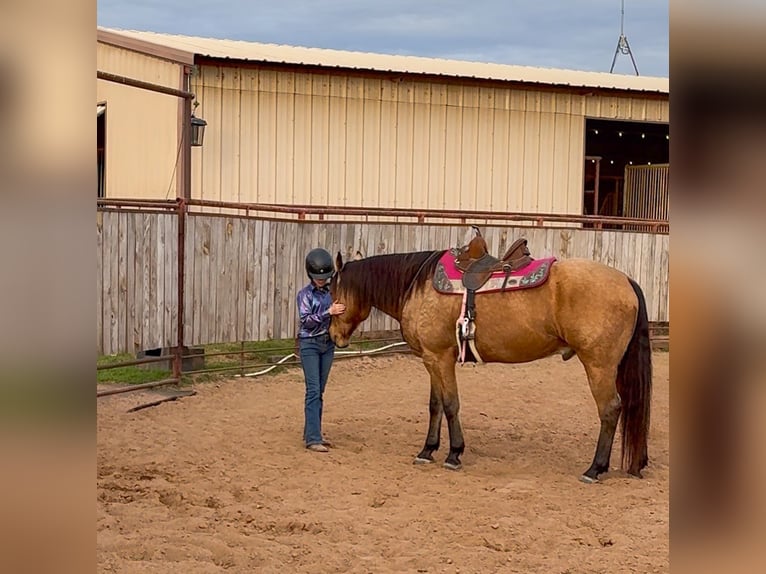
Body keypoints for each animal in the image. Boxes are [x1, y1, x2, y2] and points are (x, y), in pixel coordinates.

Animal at [328, 243, 652, 483]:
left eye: (333, 292)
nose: (333, 335)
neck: (418, 286)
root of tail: (626, 280)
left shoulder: (440, 358)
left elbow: (450, 405)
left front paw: (454, 454)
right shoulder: (433, 359)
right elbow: (435, 405)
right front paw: (427, 450)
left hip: (599, 366)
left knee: (610, 409)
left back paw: (594, 469)